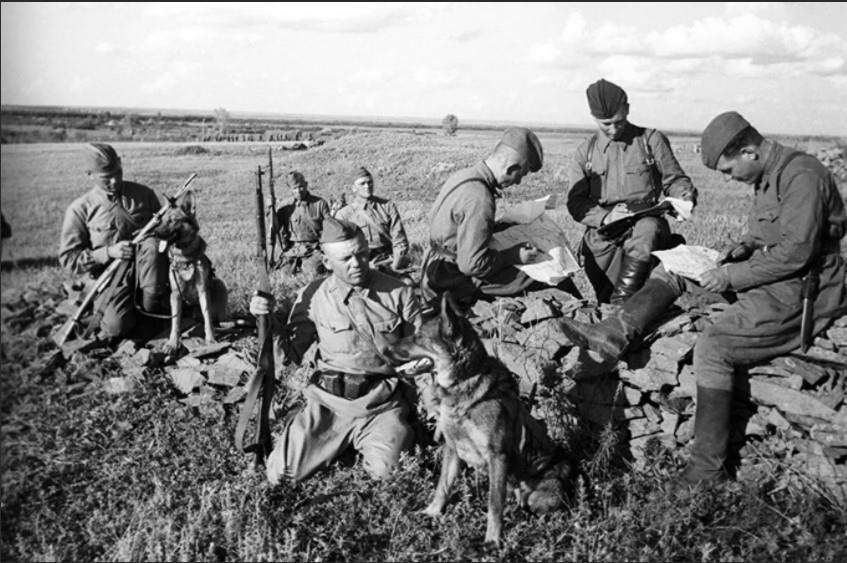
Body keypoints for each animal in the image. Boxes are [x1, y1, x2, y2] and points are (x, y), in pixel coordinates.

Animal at [153, 191, 228, 355]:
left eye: (172, 221)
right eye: (161, 221)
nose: (154, 233)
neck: (185, 257)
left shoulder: (203, 291)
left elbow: (208, 318)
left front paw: (210, 339)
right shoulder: (175, 294)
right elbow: (175, 322)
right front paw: (172, 343)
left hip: (220, 284)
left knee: (215, 318)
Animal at [387, 293, 573, 546]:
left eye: (419, 337)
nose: (386, 348)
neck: (463, 386)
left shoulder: (497, 457)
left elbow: (494, 505)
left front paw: (492, 541)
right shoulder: (452, 448)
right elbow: (443, 486)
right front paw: (432, 512)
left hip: (540, 495)